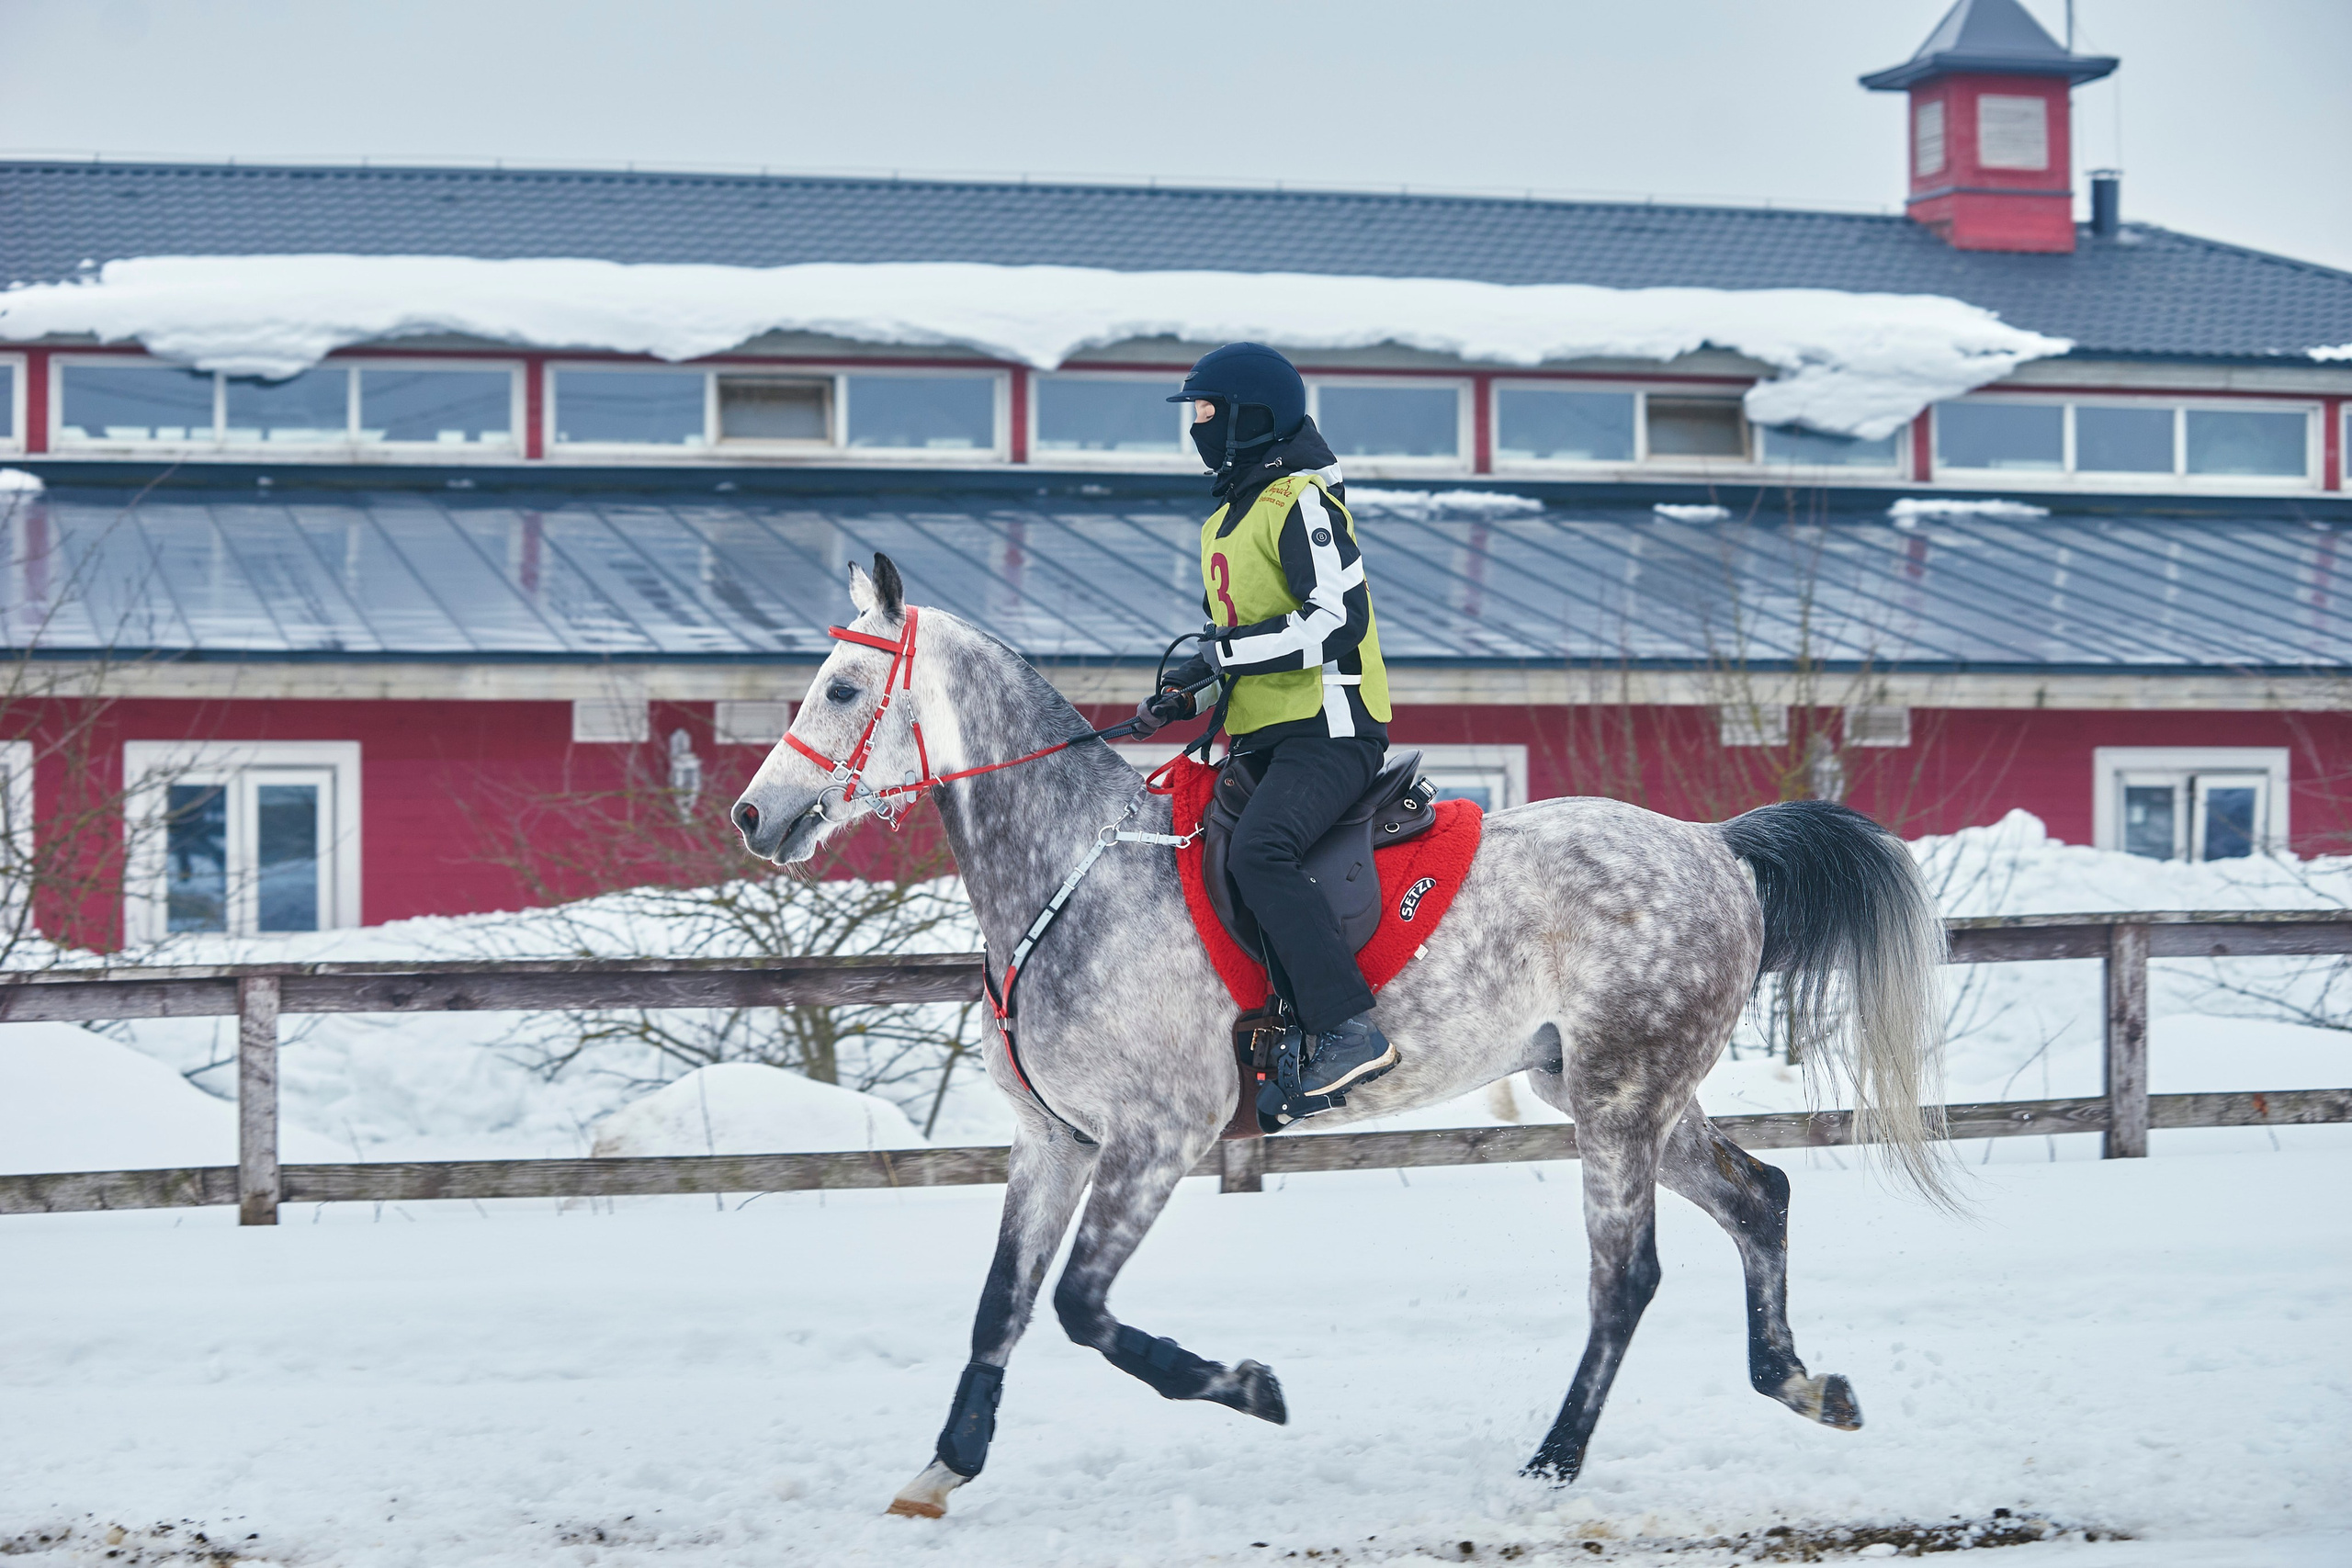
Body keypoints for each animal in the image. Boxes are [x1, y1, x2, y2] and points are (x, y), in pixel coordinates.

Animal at [730, 554, 1952, 1521]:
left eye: (843, 686)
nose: (753, 815)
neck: (1076, 872)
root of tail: (1718, 849)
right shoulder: (1055, 1142)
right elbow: (1004, 1307)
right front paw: (941, 1468)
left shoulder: (1154, 1140)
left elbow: (1081, 1309)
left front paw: (1247, 1387)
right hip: (1618, 1093)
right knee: (1759, 1199)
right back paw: (1803, 1385)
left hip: (1617, 1101)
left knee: (1626, 1279)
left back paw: (1552, 1464)